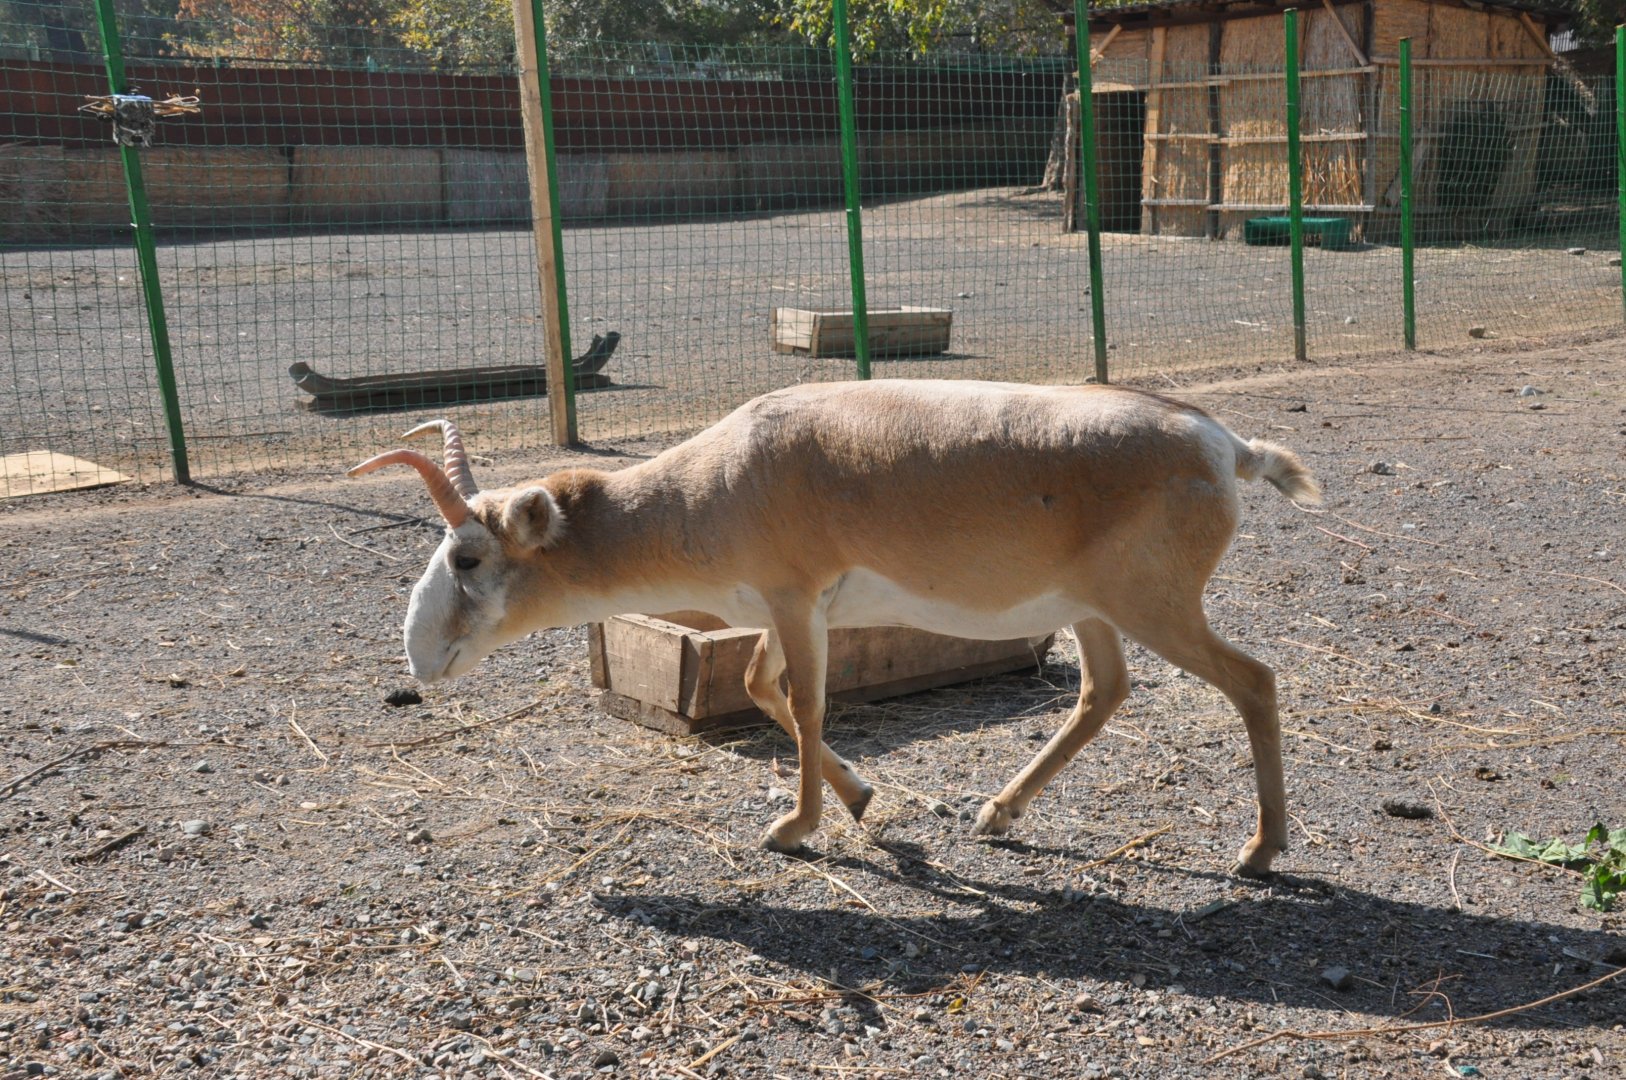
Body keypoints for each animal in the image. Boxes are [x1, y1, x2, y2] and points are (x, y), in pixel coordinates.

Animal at [350, 380, 1319, 876]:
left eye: (467, 557)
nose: (419, 655)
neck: (721, 476)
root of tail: (1226, 447)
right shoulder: (781, 613)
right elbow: (758, 686)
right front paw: (860, 801)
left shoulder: (794, 598)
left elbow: (810, 706)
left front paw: (794, 829)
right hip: (1092, 611)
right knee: (1105, 689)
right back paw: (997, 813)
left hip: (1152, 605)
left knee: (1255, 680)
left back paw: (1258, 851)